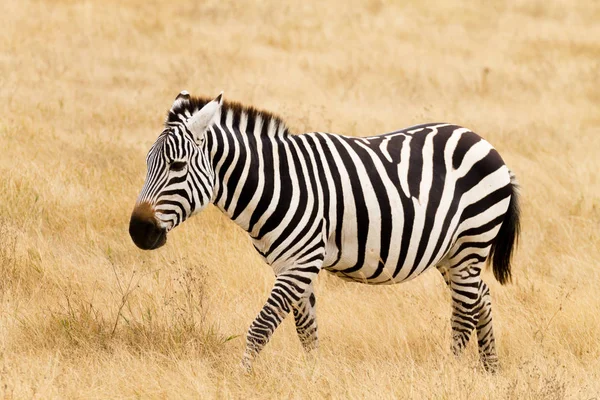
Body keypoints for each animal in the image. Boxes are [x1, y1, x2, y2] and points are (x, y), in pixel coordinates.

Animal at [129, 90, 516, 372]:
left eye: (177, 166)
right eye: (147, 163)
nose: (137, 231)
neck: (276, 184)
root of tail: (481, 140)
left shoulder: (302, 261)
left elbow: (261, 327)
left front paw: (242, 377)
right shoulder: (288, 264)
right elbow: (306, 330)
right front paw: (313, 376)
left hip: (471, 243)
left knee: (463, 313)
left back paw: (450, 371)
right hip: (451, 254)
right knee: (481, 297)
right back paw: (490, 370)